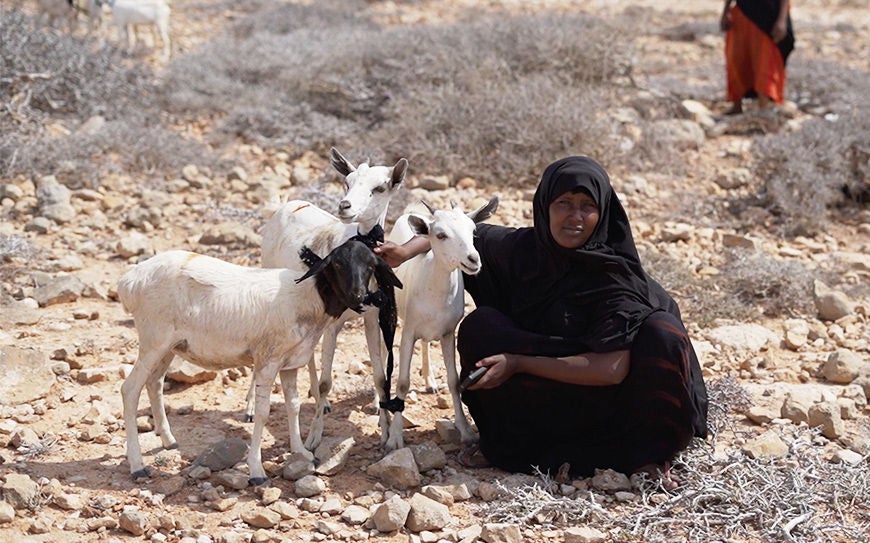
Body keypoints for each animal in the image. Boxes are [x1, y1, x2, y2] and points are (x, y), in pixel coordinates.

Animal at [117, 240, 401, 485]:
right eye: (338, 264)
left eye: (371, 266)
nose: (359, 296)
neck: (309, 298)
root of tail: (129, 281)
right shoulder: (268, 360)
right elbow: (264, 413)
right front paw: (256, 470)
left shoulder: (290, 363)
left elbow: (294, 406)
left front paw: (301, 452)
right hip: (154, 338)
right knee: (130, 390)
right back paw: (137, 465)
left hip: (170, 345)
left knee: (154, 383)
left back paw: (168, 439)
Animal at [256, 148, 408, 451]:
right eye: (347, 182)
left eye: (380, 187)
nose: (345, 206)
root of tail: (288, 205)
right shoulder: (333, 324)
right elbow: (327, 381)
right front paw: (313, 438)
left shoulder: (371, 319)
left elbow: (379, 376)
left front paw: (386, 433)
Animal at [382, 196, 499, 451]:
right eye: (441, 234)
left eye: (473, 230)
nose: (473, 260)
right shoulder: (409, 332)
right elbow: (403, 383)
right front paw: (394, 438)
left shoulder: (447, 333)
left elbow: (454, 381)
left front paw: (466, 431)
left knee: (426, 343)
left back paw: (429, 381)